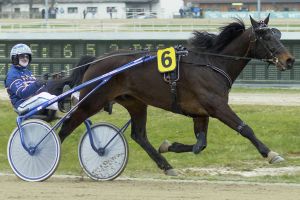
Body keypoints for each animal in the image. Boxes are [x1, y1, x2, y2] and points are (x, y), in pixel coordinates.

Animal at [56, 15, 296, 175]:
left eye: (277, 34)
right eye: (266, 36)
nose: (289, 60)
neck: (212, 63)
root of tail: (96, 60)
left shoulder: (201, 113)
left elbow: (200, 144)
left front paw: (169, 146)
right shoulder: (217, 106)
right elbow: (244, 128)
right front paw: (271, 154)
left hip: (136, 103)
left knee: (139, 135)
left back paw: (166, 165)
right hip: (92, 101)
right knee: (67, 126)